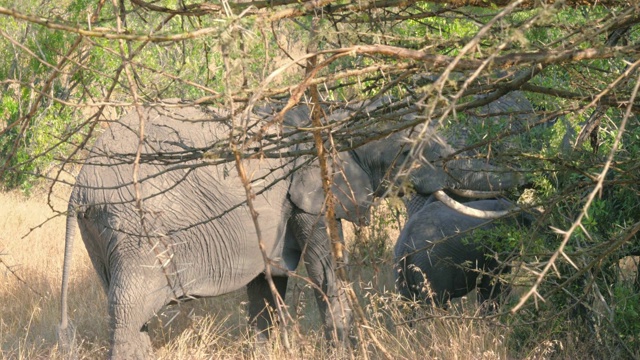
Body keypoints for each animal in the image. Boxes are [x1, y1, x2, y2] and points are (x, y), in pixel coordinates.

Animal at [396, 195, 528, 310]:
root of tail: (405, 244)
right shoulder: (497, 245)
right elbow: (493, 285)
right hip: (430, 266)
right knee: (436, 304)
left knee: (407, 305)